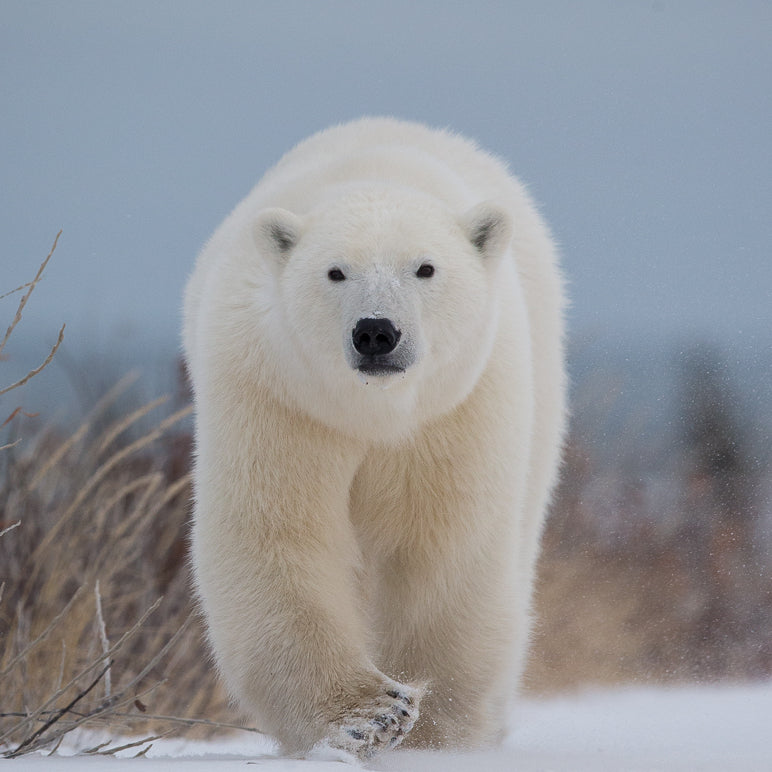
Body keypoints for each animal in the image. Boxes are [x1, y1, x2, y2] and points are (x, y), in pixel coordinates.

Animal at [182, 117, 566, 760]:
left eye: (425, 268)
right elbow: (279, 536)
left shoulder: (455, 409)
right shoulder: (279, 396)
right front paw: (369, 717)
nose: (377, 332)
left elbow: (443, 550)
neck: (373, 412)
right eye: (335, 271)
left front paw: (435, 734)